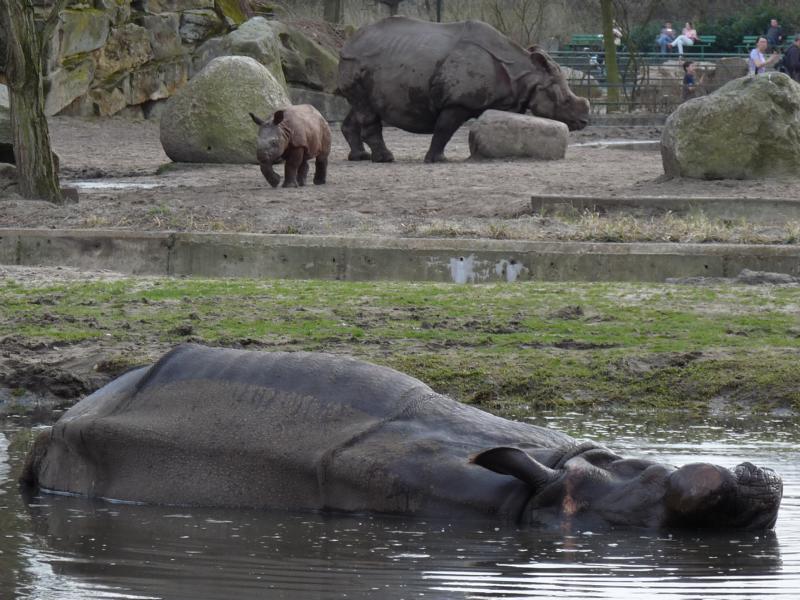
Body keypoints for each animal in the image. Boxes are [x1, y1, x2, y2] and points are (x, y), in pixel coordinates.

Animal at [338, 16, 590, 163]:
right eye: (565, 99)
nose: (584, 121)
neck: (525, 73)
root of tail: (348, 43)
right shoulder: (457, 102)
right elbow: (444, 130)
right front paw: (438, 160)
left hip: (365, 66)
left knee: (358, 107)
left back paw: (360, 157)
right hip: (358, 62)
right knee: (365, 109)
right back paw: (386, 159)